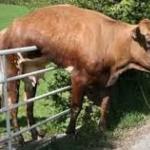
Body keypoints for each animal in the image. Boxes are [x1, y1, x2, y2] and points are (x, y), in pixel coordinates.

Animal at [0, 4, 150, 144]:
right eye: (148, 41)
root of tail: (7, 29)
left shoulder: (109, 81)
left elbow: (105, 104)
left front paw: (102, 129)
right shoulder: (78, 77)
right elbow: (76, 107)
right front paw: (70, 133)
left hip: (31, 72)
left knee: (29, 105)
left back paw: (36, 134)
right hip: (12, 69)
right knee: (12, 104)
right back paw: (19, 138)